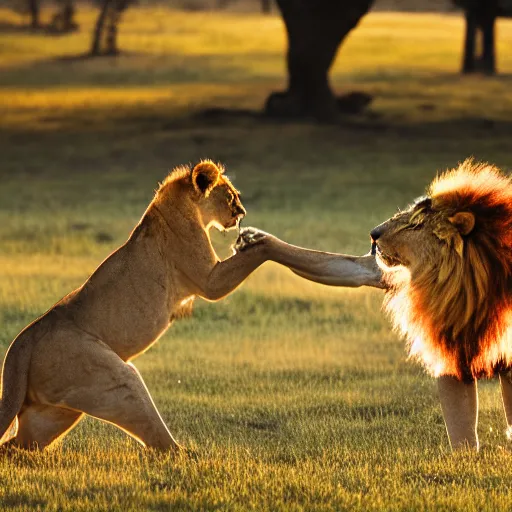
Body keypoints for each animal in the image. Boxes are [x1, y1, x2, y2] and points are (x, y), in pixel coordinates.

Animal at [1, 161, 384, 452]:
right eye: (231, 196)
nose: (242, 213)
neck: (180, 204)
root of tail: (22, 341)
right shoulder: (209, 280)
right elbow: (263, 250)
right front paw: (255, 238)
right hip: (111, 378)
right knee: (158, 443)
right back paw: (189, 455)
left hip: (54, 411)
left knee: (15, 447)